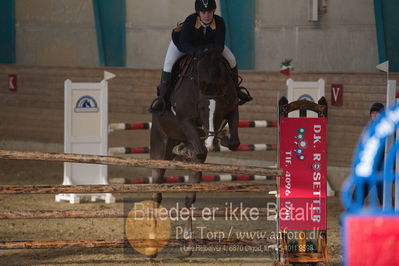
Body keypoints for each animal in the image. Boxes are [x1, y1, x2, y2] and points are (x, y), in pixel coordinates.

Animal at [148, 47, 241, 254]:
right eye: (202, 108)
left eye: (221, 108)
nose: (212, 143)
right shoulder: (185, 120)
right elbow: (197, 147)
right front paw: (189, 149)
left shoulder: (232, 109)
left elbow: (234, 142)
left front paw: (222, 138)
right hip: (159, 146)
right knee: (156, 193)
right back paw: (153, 238)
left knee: (190, 197)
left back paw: (188, 241)